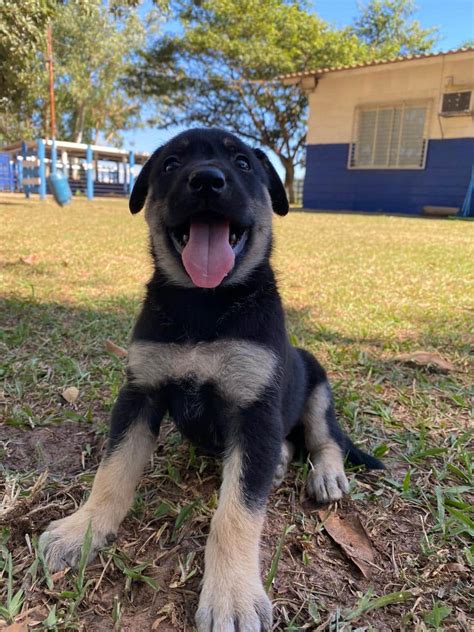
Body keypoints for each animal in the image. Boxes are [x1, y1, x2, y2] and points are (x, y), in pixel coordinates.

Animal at [39, 128, 382, 632]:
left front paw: (232, 596)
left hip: (317, 386)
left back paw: (327, 475)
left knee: (325, 439)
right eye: (170, 164)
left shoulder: (255, 408)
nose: (205, 180)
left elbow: (235, 514)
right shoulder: (139, 393)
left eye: (242, 163)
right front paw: (80, 529)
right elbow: (113, 472)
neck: (205, 303)